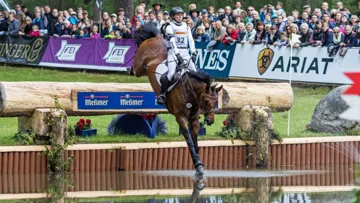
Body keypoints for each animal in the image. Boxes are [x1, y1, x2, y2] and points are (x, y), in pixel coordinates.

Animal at [132, 24, 222, 174]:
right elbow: (189, 141)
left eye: (216, 102)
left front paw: (198, 163)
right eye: (206, 101)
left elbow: (195, 141)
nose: (210, 121)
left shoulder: (194, 119)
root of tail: (155, 37)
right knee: (135, 69)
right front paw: (198, 164)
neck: (190, 91)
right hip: (138, 67)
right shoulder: (181, 118)